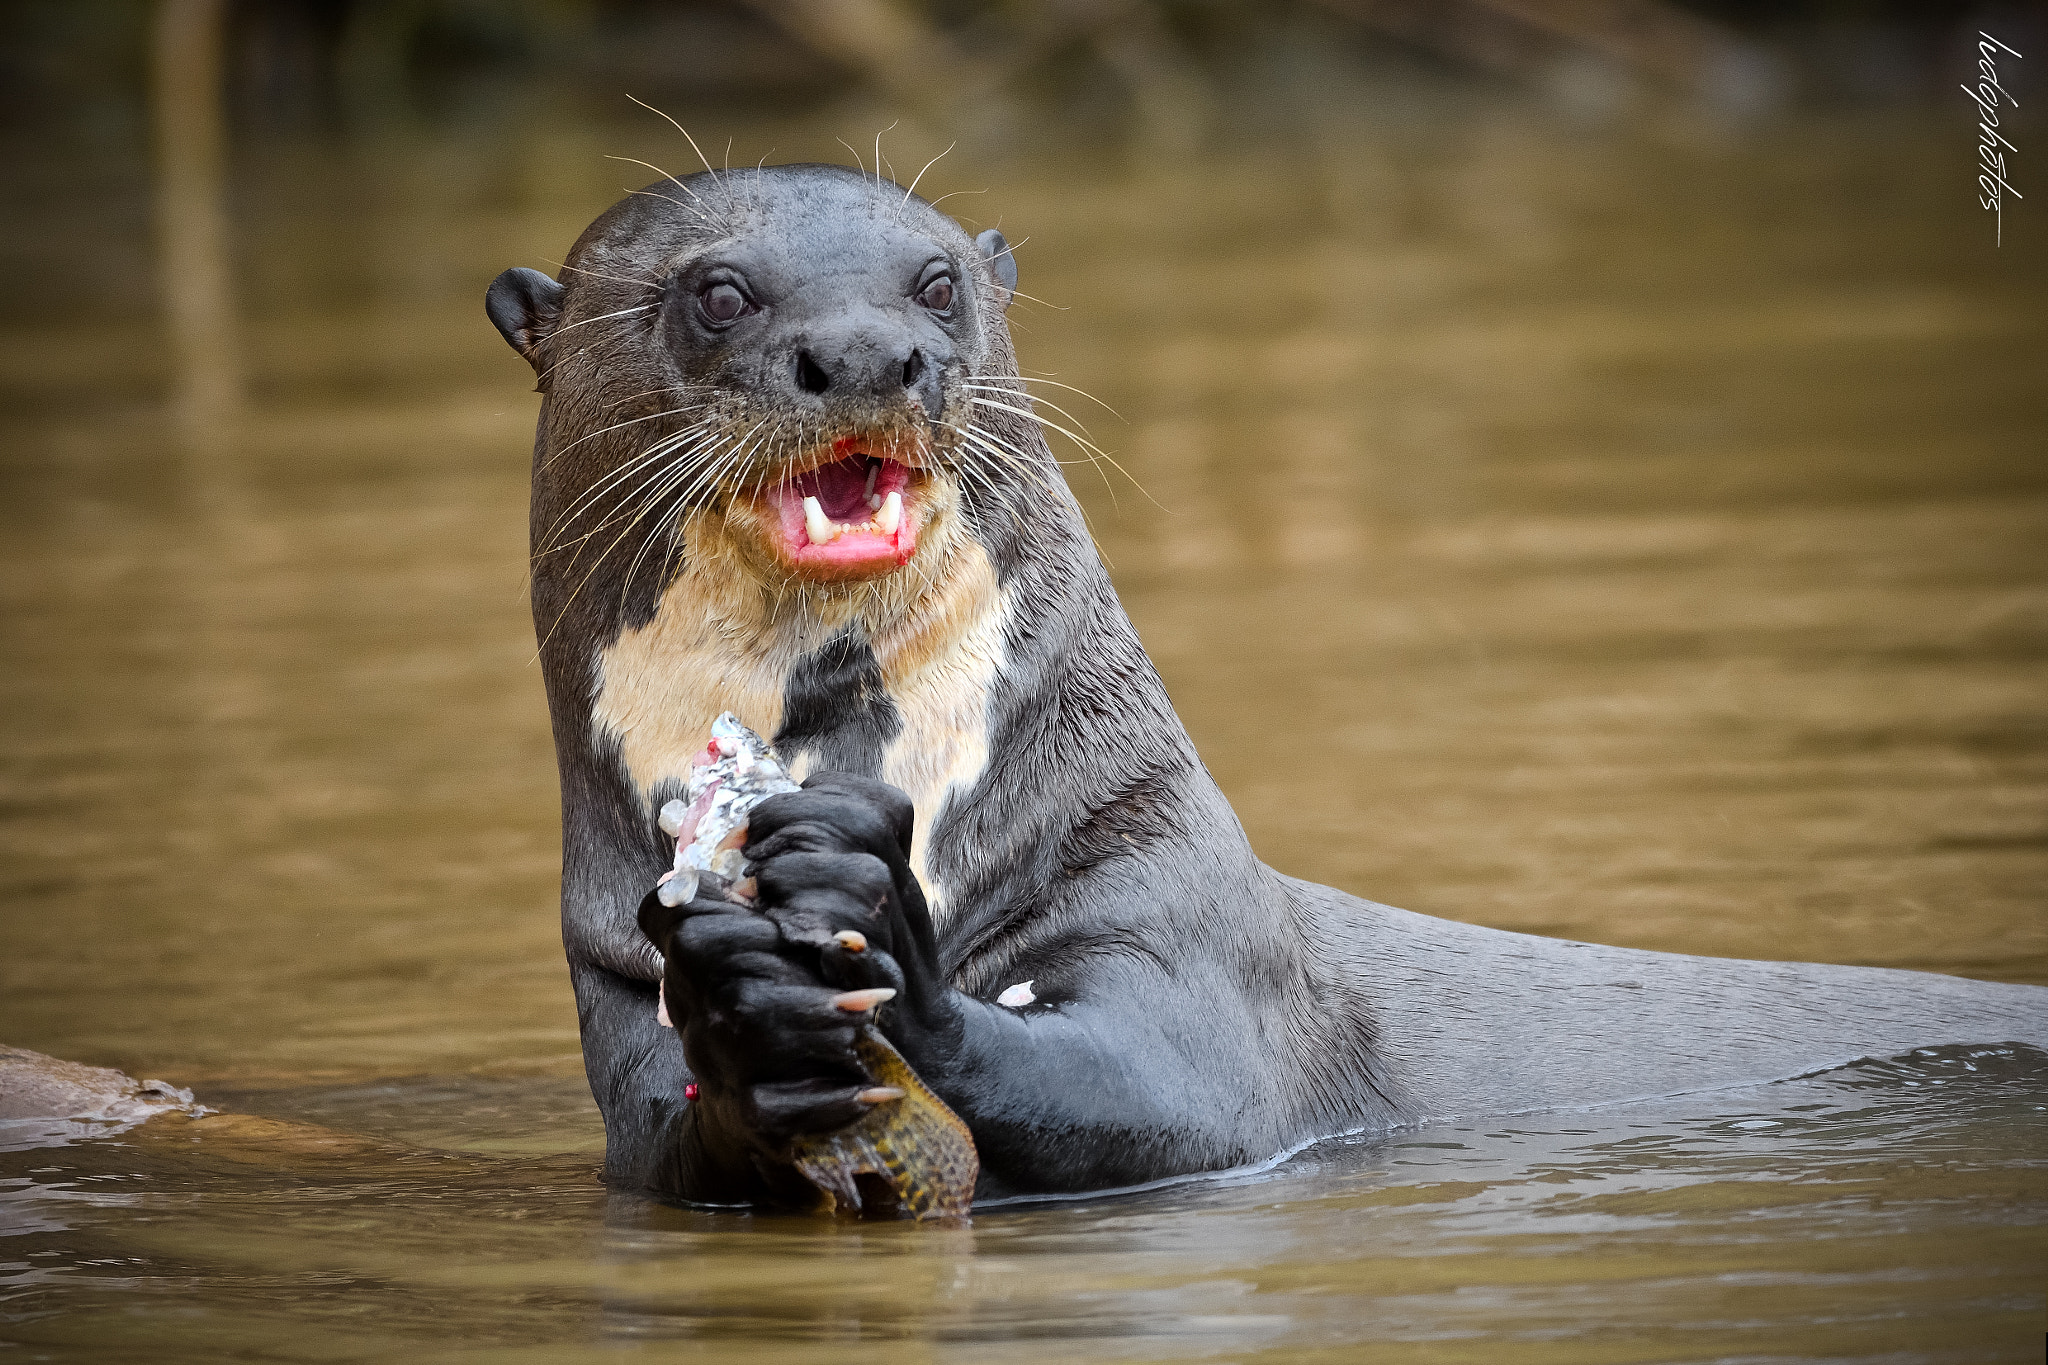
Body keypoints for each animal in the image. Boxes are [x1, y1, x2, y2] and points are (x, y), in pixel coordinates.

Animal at [483, 162, 2048, 1203]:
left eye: (937, 285)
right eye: (717, 293)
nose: (870, 351)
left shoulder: (1167, 893)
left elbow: (1172, 1092)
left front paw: (876, 926)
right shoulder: (609, 990)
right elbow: (674, 1145)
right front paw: (740, 1008)